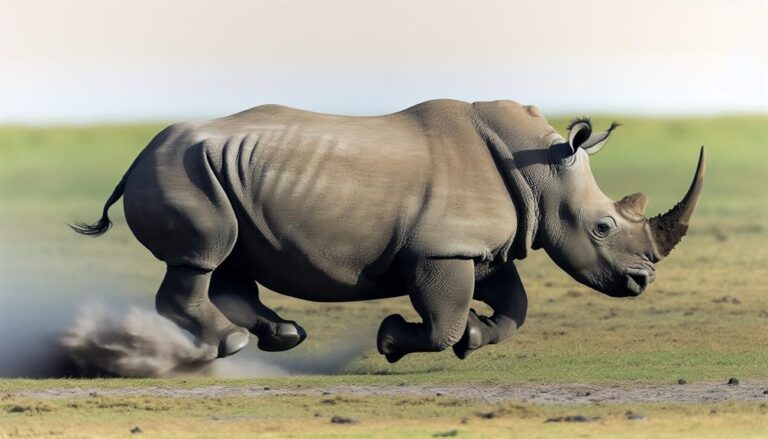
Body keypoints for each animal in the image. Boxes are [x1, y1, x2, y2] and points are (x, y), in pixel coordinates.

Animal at [72, 99, 705, 362]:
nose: (641, 282)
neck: (540, 172)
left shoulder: (484, 249)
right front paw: (394, 342)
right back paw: (228, 345)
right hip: (183, 170)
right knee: (201, 257)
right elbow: (443, 319)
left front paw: (478, 337)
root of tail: (136, 156)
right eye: (601, 228)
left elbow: (514, 307)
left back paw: (282, 336)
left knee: (230, 259)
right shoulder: (441, 248)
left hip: (219, 173)